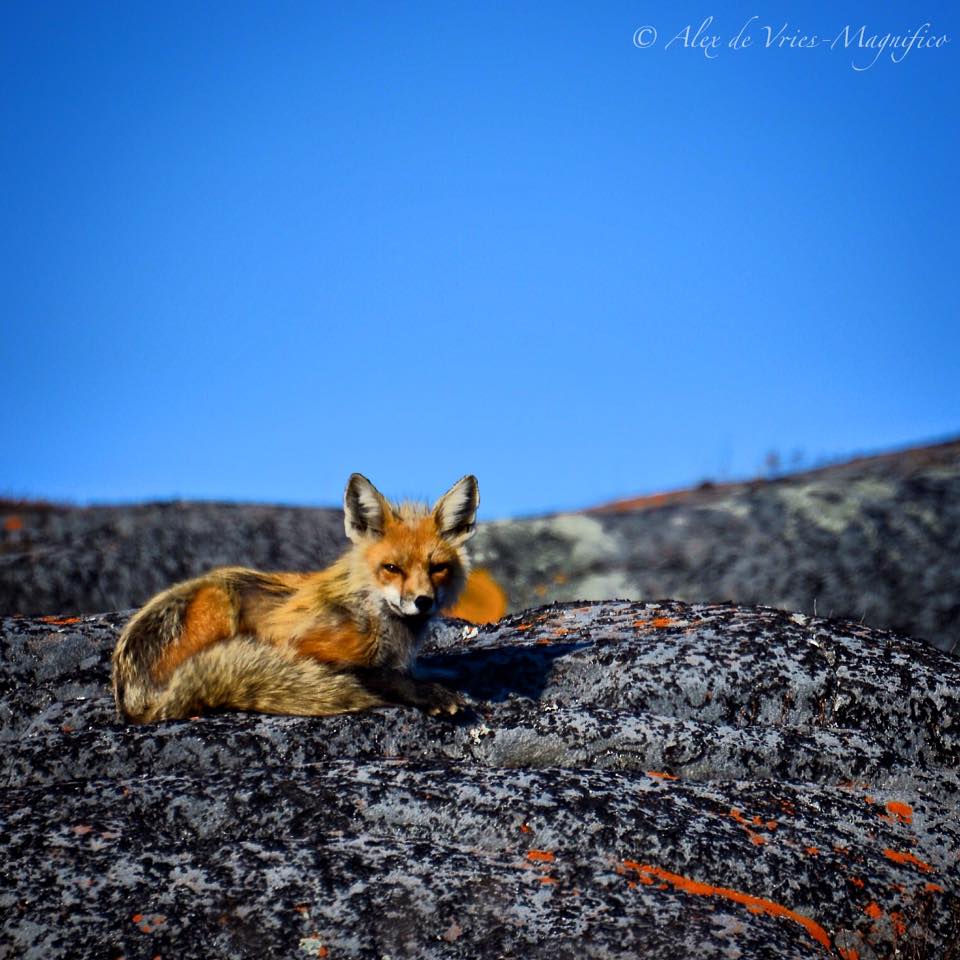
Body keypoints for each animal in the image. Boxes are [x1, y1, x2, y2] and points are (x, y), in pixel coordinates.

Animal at [111, 473, 480, 724]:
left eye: (438, 568)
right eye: (392, 568)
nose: (423, 601)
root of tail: (132, 701)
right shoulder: (296, 642)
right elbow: (379, 675)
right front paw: (428, 693)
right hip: (221, 599)